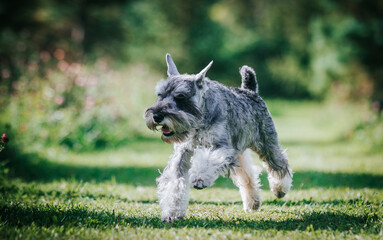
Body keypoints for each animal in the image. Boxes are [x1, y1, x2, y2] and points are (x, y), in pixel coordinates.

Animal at [145, 53, 294, 222]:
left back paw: (279, 190)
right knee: (247, 175)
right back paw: (252, 203)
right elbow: (175, 183)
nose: (157, 116)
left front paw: (199, 178)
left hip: (267, 144)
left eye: (181, 97)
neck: (199, 120)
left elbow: (208, 160)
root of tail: (250, 92)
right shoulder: (182, 153)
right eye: (160, 95)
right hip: (238, 151)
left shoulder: (219, 147)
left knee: (279, 164)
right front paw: (172, 213)